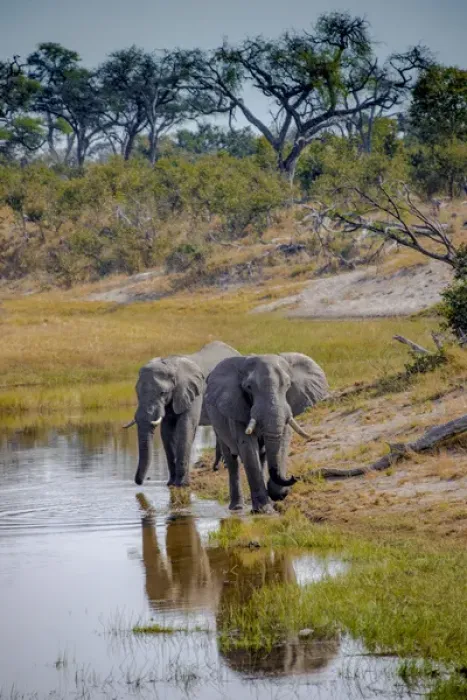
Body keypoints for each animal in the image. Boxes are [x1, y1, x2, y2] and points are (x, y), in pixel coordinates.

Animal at [124, 341, 240, 487]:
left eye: (163, 393)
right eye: (137, 392)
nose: (139, 482)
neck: (171, 364)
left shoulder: (194, 392)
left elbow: (185, 427)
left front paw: (182, 484)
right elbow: (166, 432)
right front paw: (171, 483)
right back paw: (217, 467)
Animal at [205, 353, 329, 513]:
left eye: (288, 385)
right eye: (248, 387)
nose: (293, 477)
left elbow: (283, 441)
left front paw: (276, 494)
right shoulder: (236, 407)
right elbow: (248, 447)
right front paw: (264, 510)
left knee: (262, 457)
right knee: (232, 460)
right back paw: (237, 508)